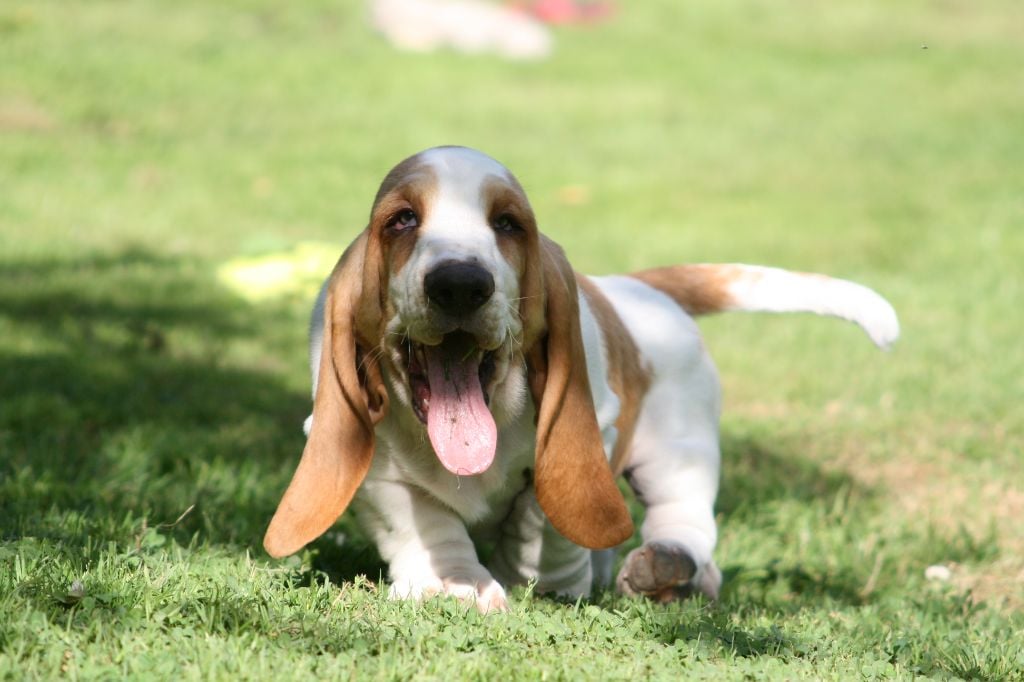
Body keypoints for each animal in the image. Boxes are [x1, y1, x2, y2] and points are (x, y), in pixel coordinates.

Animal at [264, 146, 899, 612]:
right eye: (402, 220)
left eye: (507, 224)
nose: (460, 283)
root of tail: (636, 285)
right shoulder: (369, 460)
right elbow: (421, 523)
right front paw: (453, 582)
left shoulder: (595, 430)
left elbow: (546, 512)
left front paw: (541, 574)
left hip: (678, 450)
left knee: (686, 519)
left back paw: (667, 565)